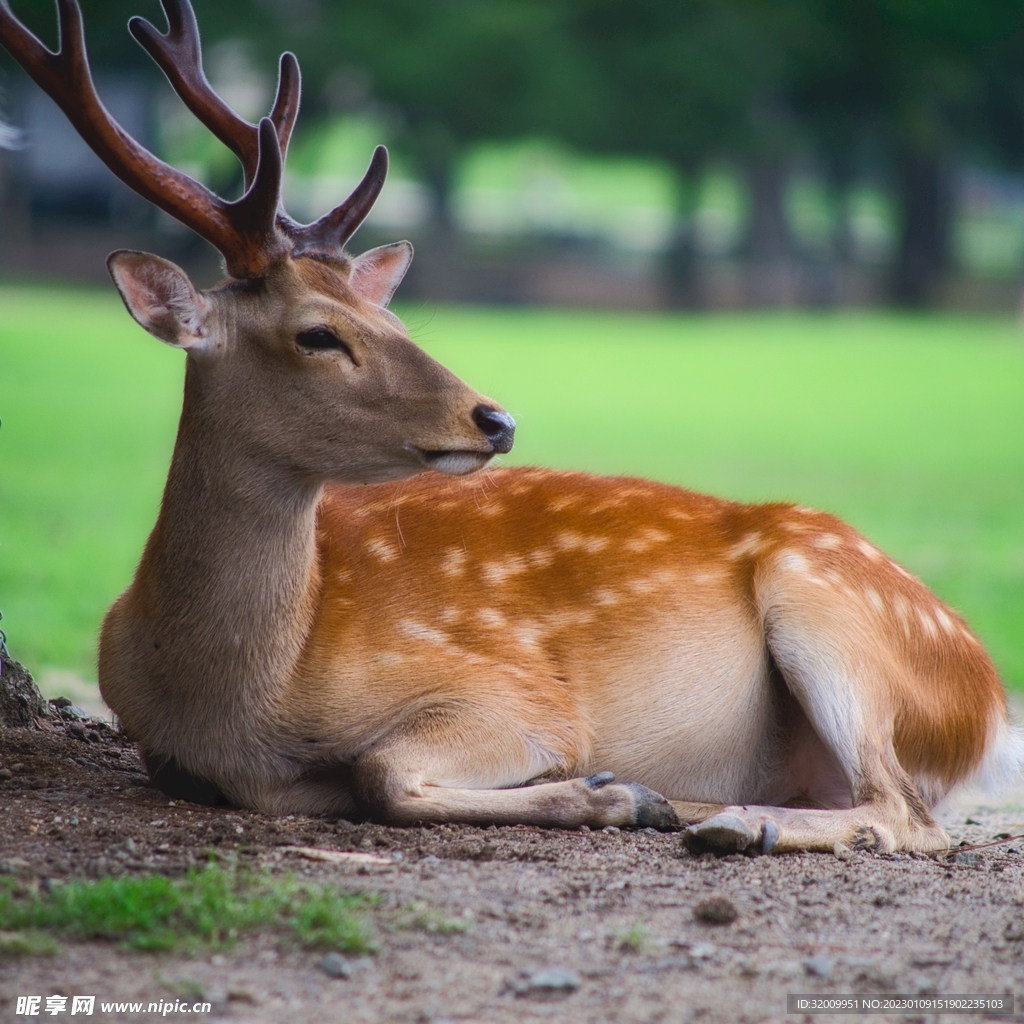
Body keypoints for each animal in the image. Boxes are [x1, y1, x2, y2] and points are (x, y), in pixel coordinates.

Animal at [4, 0, 1019, 856]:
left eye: (390, 316)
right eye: (318, 332)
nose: (495, 418)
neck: (236, 698)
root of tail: (984, 689)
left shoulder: (513, 688)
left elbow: (383, 769)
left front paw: (614, 793)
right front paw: (624, 793)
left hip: (832, 605)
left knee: (912, 815)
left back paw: (733, 822)